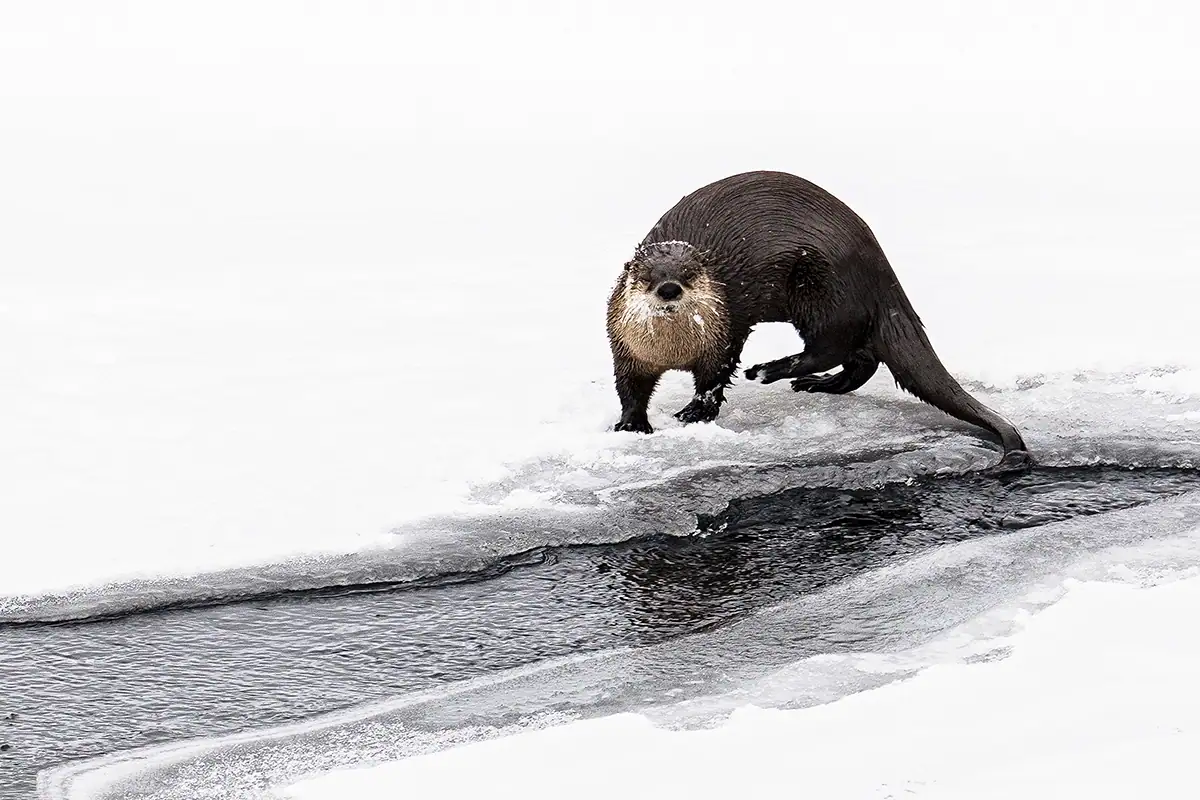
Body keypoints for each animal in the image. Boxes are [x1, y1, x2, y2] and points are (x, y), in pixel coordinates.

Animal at [605, 170, 1031, 470]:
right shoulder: (624, 347)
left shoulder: (725, 336)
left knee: (832, 347)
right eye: (647, 276)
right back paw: (819, 384)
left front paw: (697, 412)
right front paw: (631, 424)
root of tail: (879, 267)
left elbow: (714, 378)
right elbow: (629, 387)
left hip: (821, 290)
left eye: (690, 273)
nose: (669, 288)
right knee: (861, 359)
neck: (673, 351)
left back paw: (771, 371)